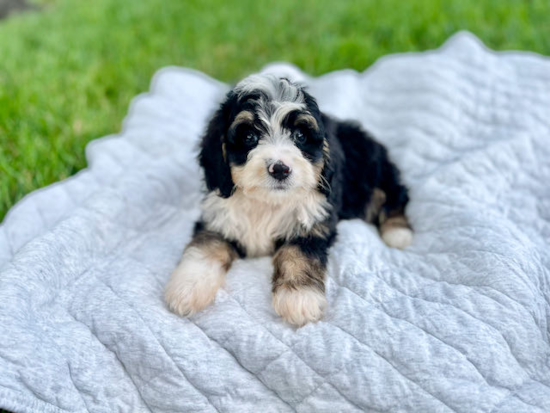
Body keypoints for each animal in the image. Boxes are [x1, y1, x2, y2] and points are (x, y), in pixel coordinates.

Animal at [165, 74, 414, 326]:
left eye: (300, 136)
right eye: (249, 136)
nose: (280, 169)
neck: (268, 202)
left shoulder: (313, 222)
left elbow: (297, 253)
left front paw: (299, 298)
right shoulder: (218, 218)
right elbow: (206, 247)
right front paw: (187, 287)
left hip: (368, 179)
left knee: (393, 194)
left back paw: (398, 231)